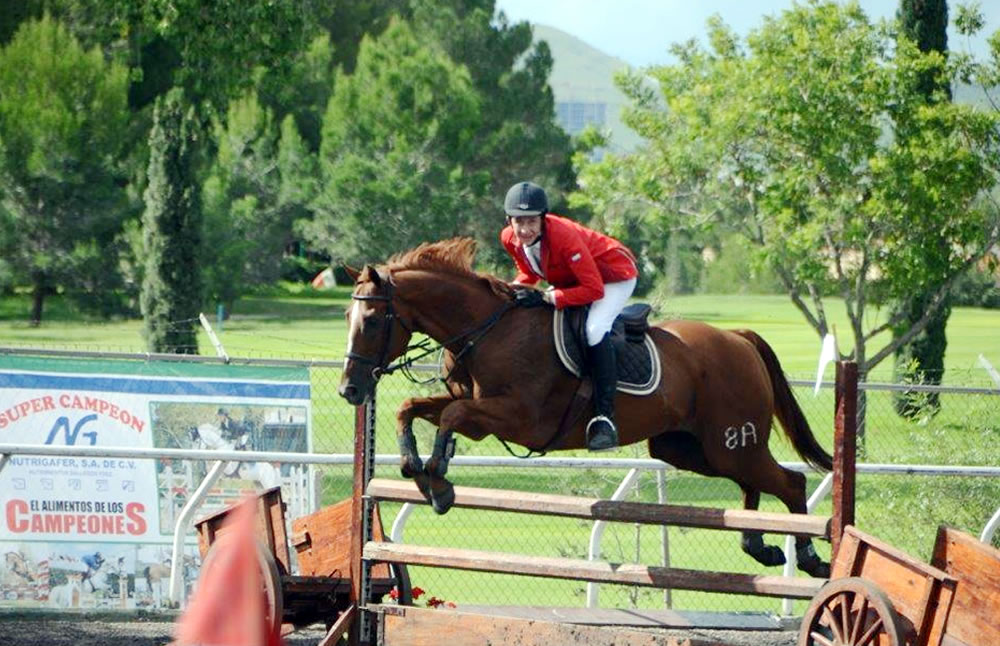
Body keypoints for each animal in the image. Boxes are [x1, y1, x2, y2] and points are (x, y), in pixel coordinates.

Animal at [340, 237, 832, 576]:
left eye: (372, 320)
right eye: (347, 318)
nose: (350, 389)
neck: (486, 330)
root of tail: (738, 338)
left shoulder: (519, 418)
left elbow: (451, 417)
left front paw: (439, 480)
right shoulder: (475, 405)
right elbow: (411, 407)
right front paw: (416, 469)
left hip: (730, 442)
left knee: (788, 482)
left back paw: (811, 559)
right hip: (691, 449)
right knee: (752, 481)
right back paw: (758, 544)